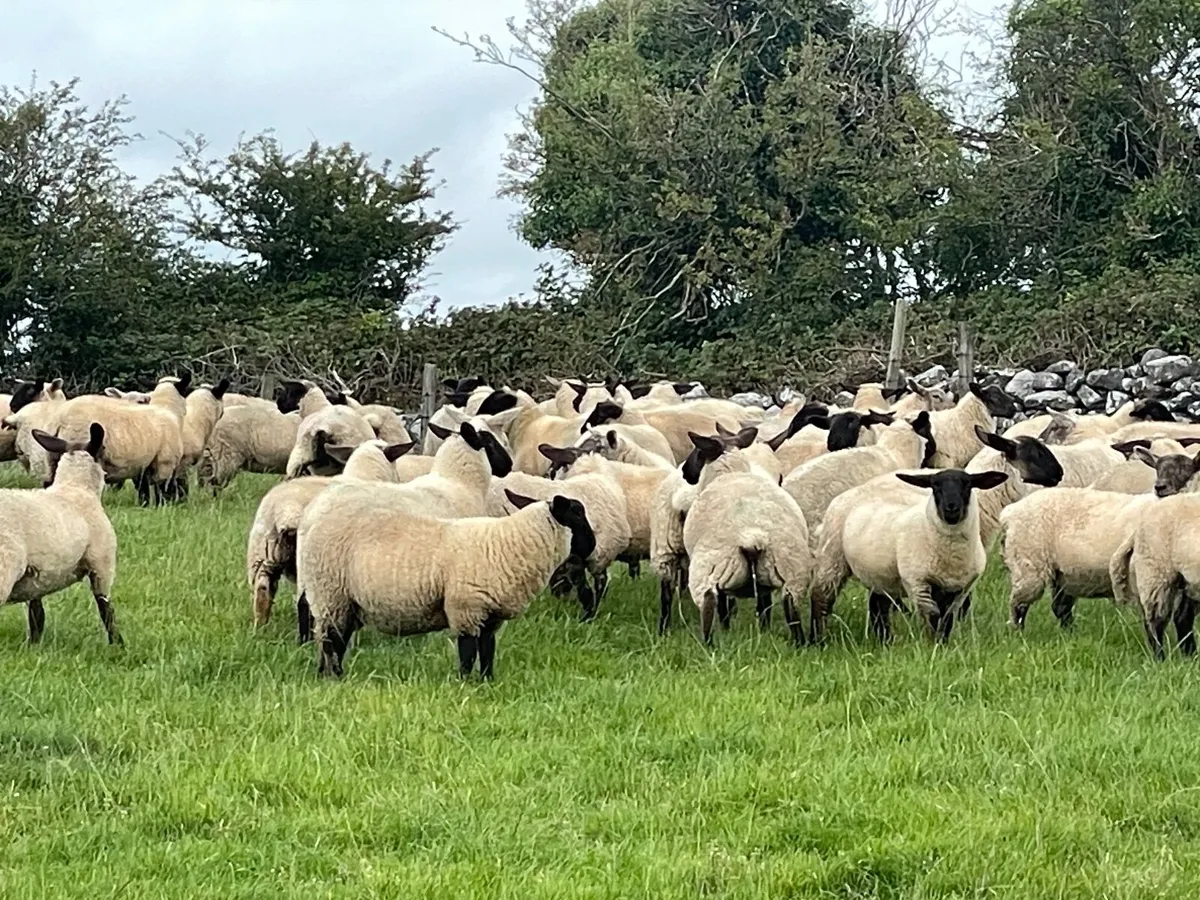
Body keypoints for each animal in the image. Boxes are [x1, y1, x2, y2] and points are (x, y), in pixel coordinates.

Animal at [0, 423, 120, 646]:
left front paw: (34, 645)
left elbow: (37, 615)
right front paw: (118, 644)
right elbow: (106, 609)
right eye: (104, 447)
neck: (76, 488)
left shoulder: (36, 577)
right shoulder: (101, 563)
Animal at [296, 485, 594, 678]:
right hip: (330, 593)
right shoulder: (466, 609)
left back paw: (328, 675)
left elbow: (487, 652)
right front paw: (465, 683)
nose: (592, 546)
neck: (508, 544)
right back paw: (336, 676)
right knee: (330, 640)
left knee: (334, 639)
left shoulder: (490, 617)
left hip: (346, 602)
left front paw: (487, 682)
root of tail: (310, 522)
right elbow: (468, 652)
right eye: (577, 515)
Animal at [680, 430, 810, 645]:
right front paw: (764, 630)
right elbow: (764, 607)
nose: (684, 473)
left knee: (708, 605)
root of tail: (751, 537)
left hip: (707, 570)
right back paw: (799, 645)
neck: (730, 473)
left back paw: (708, 646)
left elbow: (724, 608)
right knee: (792, 612)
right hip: (793, 575)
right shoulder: (765, 585)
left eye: (698, 451)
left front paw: (726, 630)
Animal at [811, 468, 1009, 644]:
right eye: (935, 486)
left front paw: (943, 645)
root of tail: (852, 491)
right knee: (821, 597)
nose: (951, 508)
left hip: (881, 573)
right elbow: (932, 615)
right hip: (832, 556)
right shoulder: (917, 582)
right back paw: (819, 639)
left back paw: (885, 641)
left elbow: (947, 619)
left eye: (967, 484)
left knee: (878, 605)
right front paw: (932, 646)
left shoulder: (961, 588)